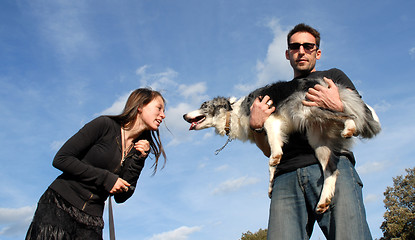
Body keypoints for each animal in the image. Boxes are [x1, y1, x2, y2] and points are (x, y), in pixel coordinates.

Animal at [184, 77, 382, 214]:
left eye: (203, 105)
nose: (184, 115)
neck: (234, 113)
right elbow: (272, 166)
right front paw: (271, 183)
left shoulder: (270, 119)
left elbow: (274, 153)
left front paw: (276, 158)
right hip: (318, 141)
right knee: (331, 170)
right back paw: (323, 201)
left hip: (308, 110)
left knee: (347, 114)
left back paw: (349, 127)